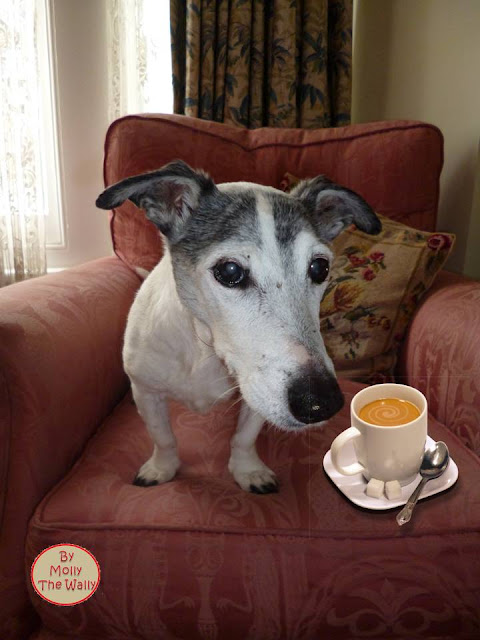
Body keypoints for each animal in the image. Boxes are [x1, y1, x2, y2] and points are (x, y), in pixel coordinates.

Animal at [96, 160, 381, 494]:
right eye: (230, 271)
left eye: (320, 268)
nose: (321, 403)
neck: (203, 348)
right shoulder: (148, 392)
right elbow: (163, 437)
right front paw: (161, 468)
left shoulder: (256, 394)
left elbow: (244, 437)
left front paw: (247, 471)